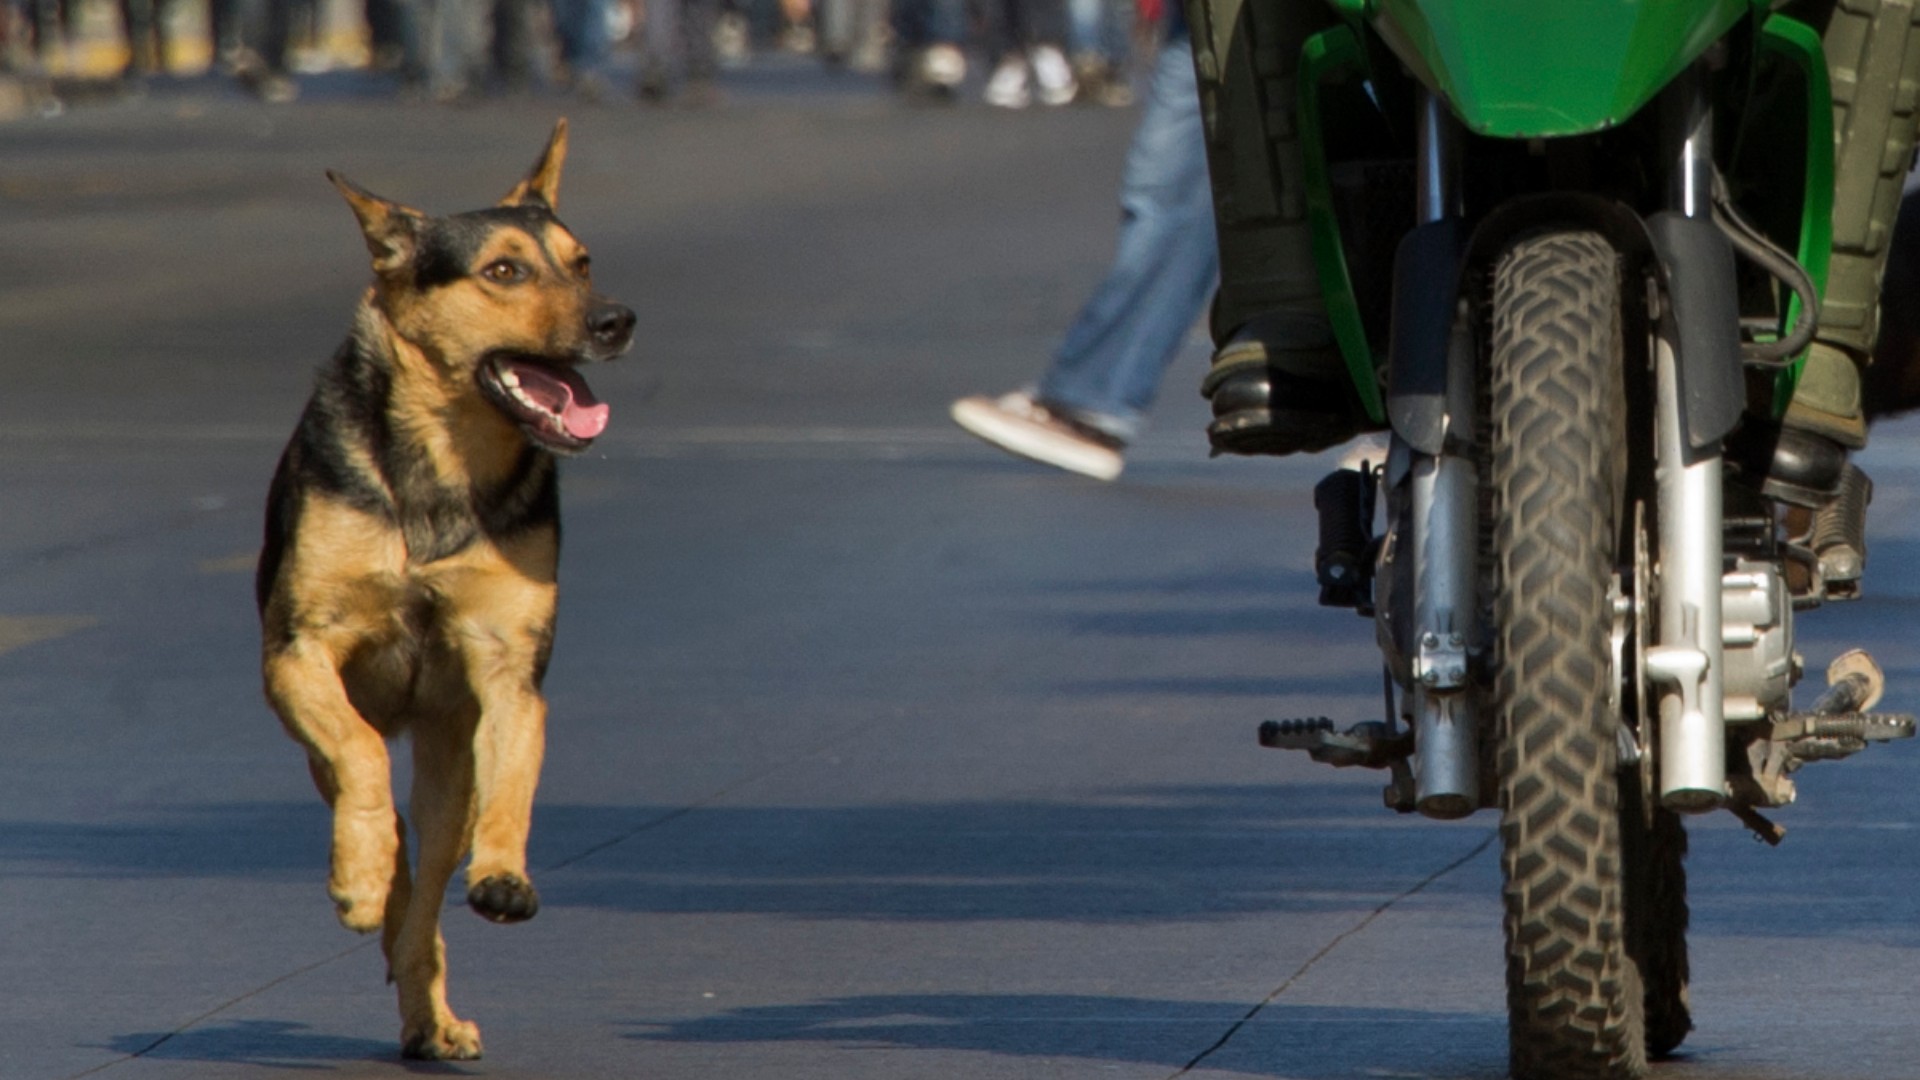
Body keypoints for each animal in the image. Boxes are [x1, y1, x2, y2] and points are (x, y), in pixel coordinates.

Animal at [249, 122, 629, 1053]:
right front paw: (357, 873)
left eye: (583, 262)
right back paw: (367, 875)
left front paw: (503, 875)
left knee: (427, 890)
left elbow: (514, 782)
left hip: (450, 764)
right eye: (504, 271)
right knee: (380, 815)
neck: (445, 462)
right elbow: (358, 753)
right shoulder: (299, 652)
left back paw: (430, 1004)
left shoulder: (509, 670)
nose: (617, 319)